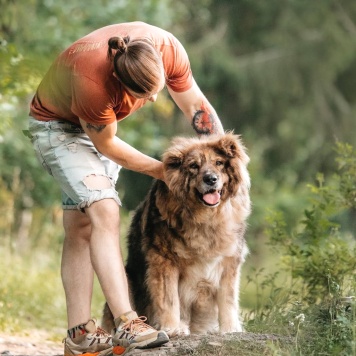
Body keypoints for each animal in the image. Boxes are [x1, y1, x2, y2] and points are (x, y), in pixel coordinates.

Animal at [102, 132, 250, 336]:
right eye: (194, 166)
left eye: (219, 163)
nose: (211, 179)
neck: (205, 218)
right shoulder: (164, 261)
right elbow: (169, 299)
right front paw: (172, 327)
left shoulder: (229, 262)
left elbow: (228, 300)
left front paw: (230, 329)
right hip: (127, 279)